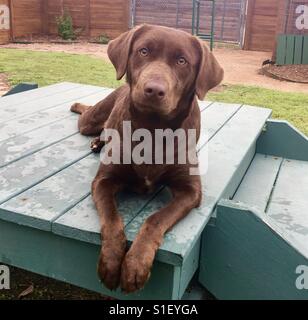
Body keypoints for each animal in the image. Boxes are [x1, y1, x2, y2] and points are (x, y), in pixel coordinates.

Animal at [70, 24, 223, 292]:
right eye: (143, 51)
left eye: (182, 60)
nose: (153, 89)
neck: (152, 129)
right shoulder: (103, 181)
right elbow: (112, 218)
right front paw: (111, 263)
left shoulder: (191, 190)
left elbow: (155, 219)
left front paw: (135, 265)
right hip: (91, 120)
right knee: (87, 116)